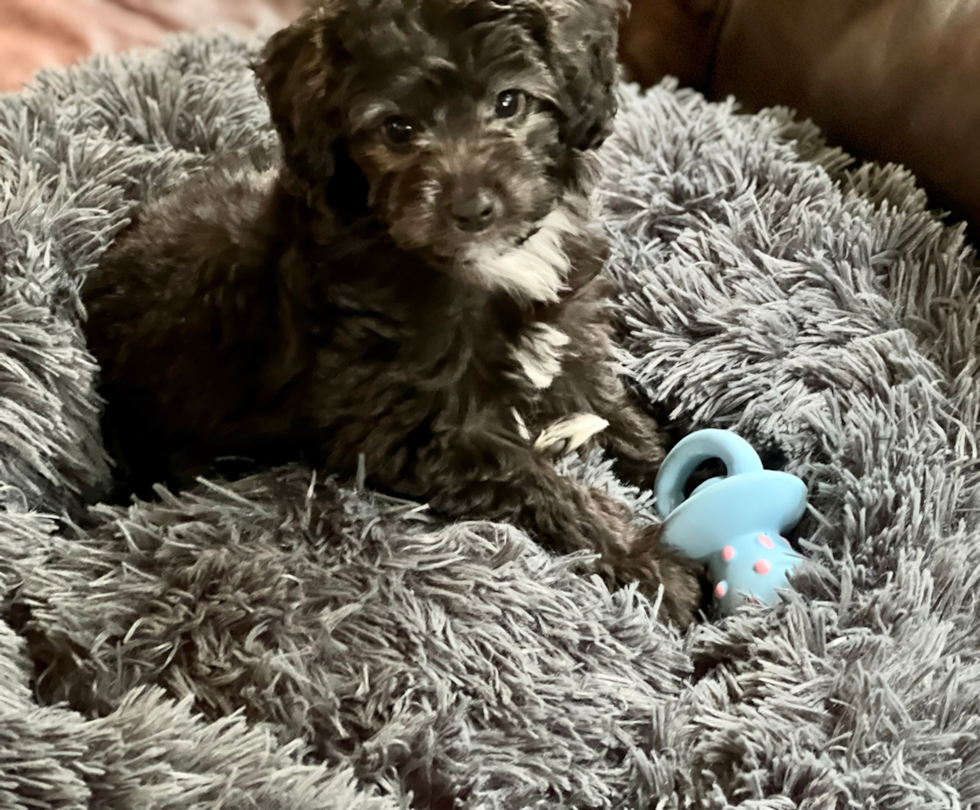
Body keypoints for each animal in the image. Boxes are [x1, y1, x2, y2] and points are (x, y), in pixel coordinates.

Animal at [80, 0, 700, 620]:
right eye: (397, 130)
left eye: (510, 102)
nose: (472, 208)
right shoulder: (417, 429)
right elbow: (535, 480)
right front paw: (649, 564)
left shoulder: (571, 342)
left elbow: (621, 419)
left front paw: (677, 467)